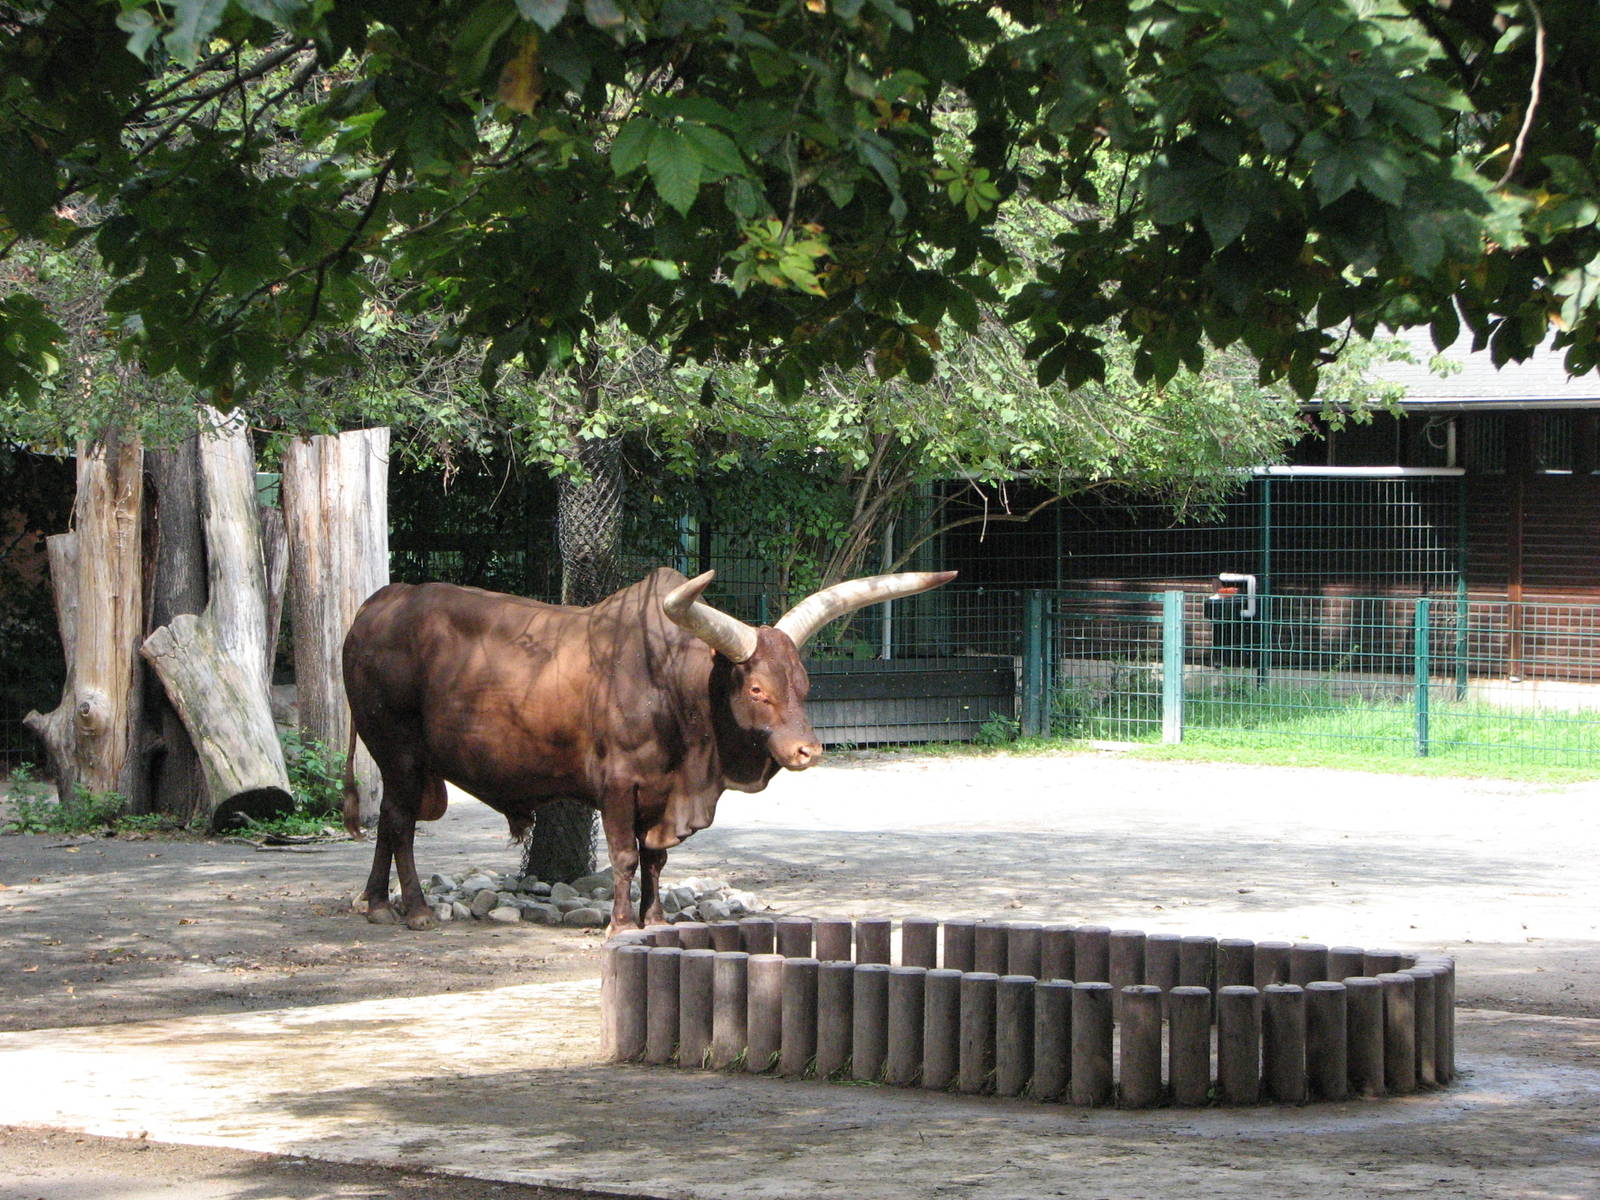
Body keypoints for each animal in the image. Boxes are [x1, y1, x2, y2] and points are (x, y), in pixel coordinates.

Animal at [341, 566, 956, 932]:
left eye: (804, 684)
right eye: (758, 689)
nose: (809, 751)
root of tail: (378, 605)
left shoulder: (664, 796)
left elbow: (657, 859)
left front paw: (655, 919)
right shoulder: (617, 786)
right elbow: (624, 856)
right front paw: (620, 923)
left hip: (397, 758)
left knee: (389, 820)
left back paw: (375, 902)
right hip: (398, 748)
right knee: (400, 822)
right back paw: (414, 909)